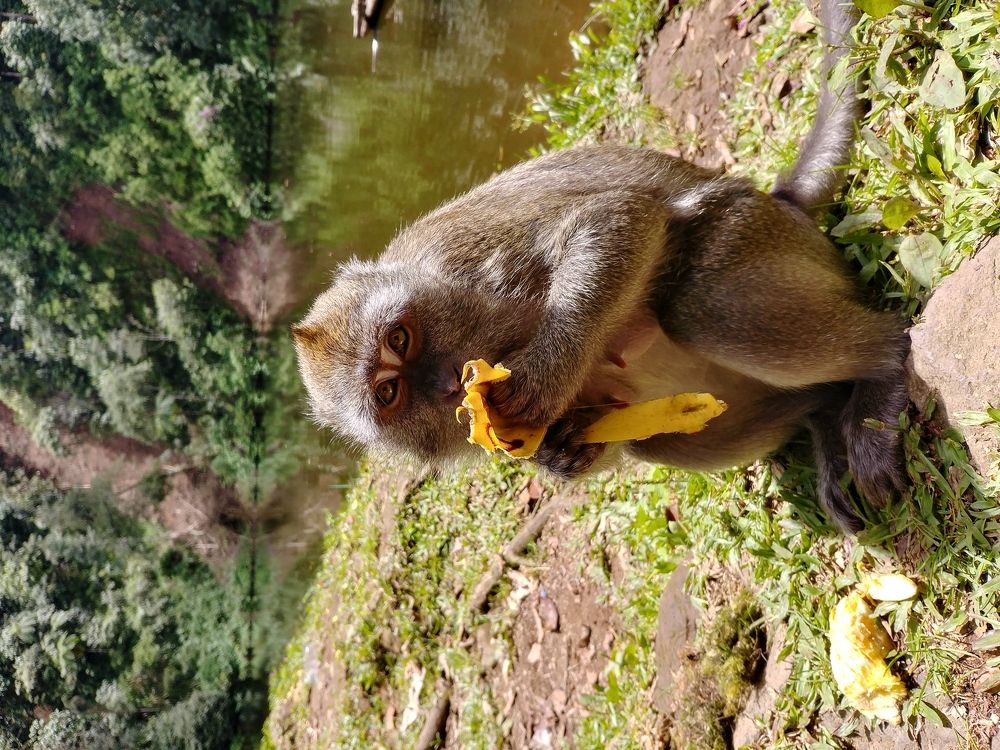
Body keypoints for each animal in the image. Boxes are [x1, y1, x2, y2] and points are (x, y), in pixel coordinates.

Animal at [292, 0, 909, 534]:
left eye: (399, 338)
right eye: (390, 393)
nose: (445, 383)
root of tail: (779, 201)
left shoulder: (480, 263)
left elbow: (617, 217)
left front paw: (547, 372)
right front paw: (561, 454)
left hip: (749, 228)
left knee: (697, 308)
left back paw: (883, 367)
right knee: (662, 437)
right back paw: (824, 415)